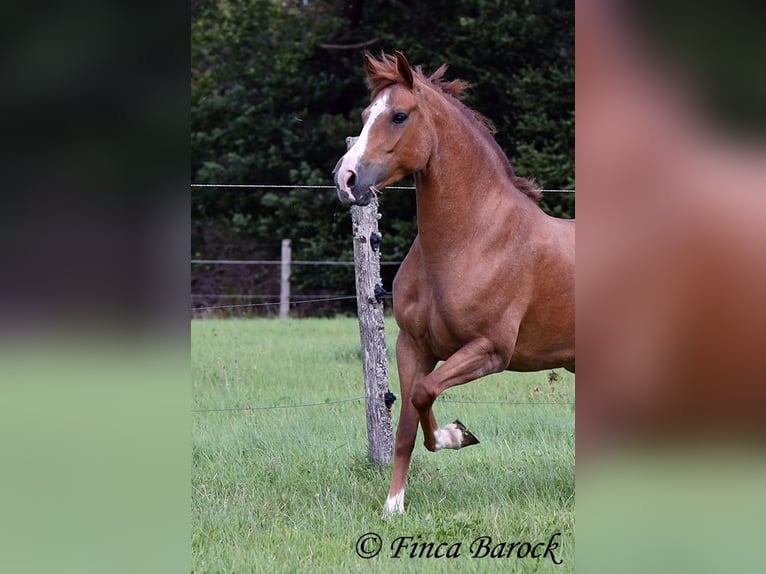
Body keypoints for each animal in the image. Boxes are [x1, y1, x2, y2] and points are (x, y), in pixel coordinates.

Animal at [332, 53, 572, 516]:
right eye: (366, 116)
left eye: (399, 115)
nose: (346, 179)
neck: (473, 240)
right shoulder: (413, 346)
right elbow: (408, 419)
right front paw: (393, 506)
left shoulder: (490, 350)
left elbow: (425, 393)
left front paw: (456, 435)